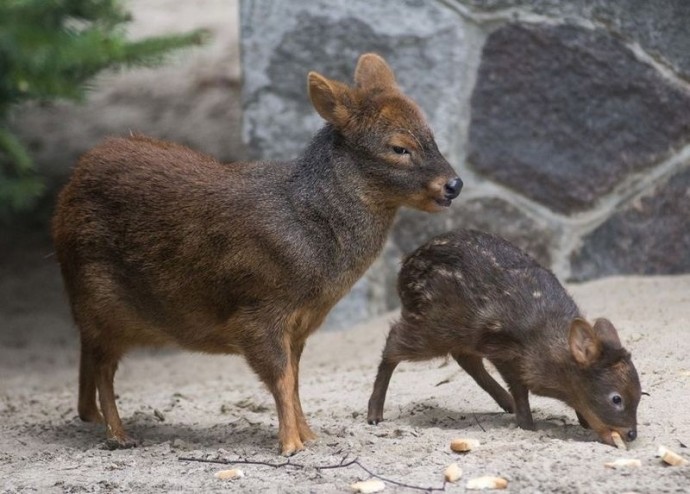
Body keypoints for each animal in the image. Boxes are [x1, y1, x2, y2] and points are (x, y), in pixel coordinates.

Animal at [366, 230, 640, 446]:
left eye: (641, 394)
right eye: (616, 398)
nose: (631, 434)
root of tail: (404, 267)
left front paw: (581, 420)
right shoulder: (502, 349)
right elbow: (519, 388)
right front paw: (527, 425)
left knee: (464, 357)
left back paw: (505, 404)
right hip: (432, 328)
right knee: (393, 341)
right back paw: (374, 414)